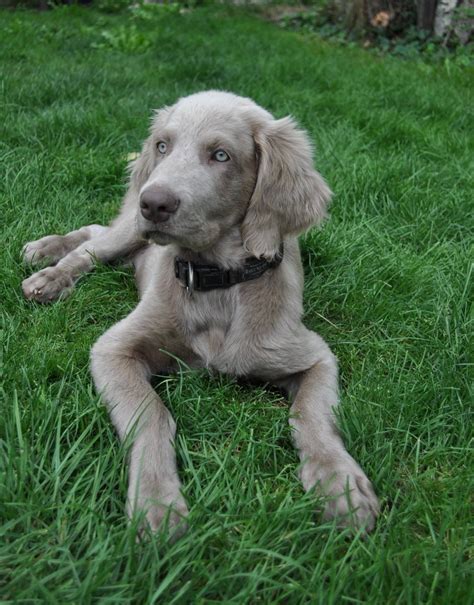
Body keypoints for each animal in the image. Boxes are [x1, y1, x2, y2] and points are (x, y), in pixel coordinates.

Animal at [22, 89, 380, 532]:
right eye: (163, 146)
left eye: (221, 155)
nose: (153, 203)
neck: (215, 280)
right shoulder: (113, 348)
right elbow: (152, 414)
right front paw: (156, 501)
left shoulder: (313, 354)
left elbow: (311, 415)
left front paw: (340, 484)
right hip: (127, 233)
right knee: (93, 241)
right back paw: (48, 265)